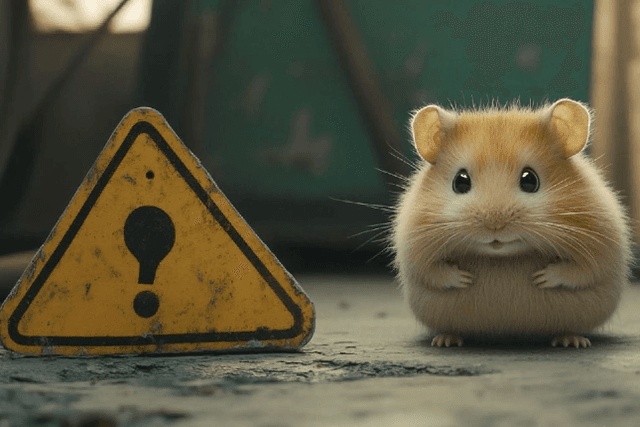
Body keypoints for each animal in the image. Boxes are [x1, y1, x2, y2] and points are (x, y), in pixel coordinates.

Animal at [391, 98, 633, 348]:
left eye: (530, 180)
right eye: (460, 182)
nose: (495, 226)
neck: (502, 256)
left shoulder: (601, 243)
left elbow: (583, 270)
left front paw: (542, 278)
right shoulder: (414, 245)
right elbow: (431, 271)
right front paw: (464, 279)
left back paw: (572, 341)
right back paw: (445, 340)